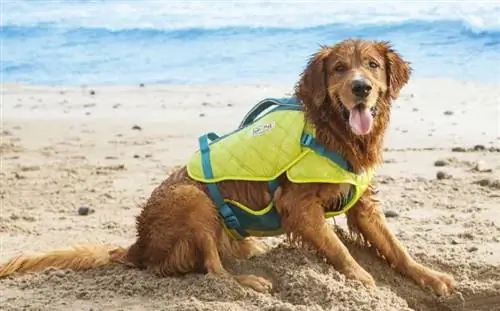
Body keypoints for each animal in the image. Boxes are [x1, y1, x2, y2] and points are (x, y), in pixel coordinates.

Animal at [0, 38, 456, 298]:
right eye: (340, 69)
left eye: (373, 66)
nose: (360, 88)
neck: (332, 131)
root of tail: (138, 247)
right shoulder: (298, 206)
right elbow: (338, 249)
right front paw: (361, 279)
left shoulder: (363, 204)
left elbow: (396, 248)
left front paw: (431, 277)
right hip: (192, 199)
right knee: (213, 272)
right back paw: (250, 283)